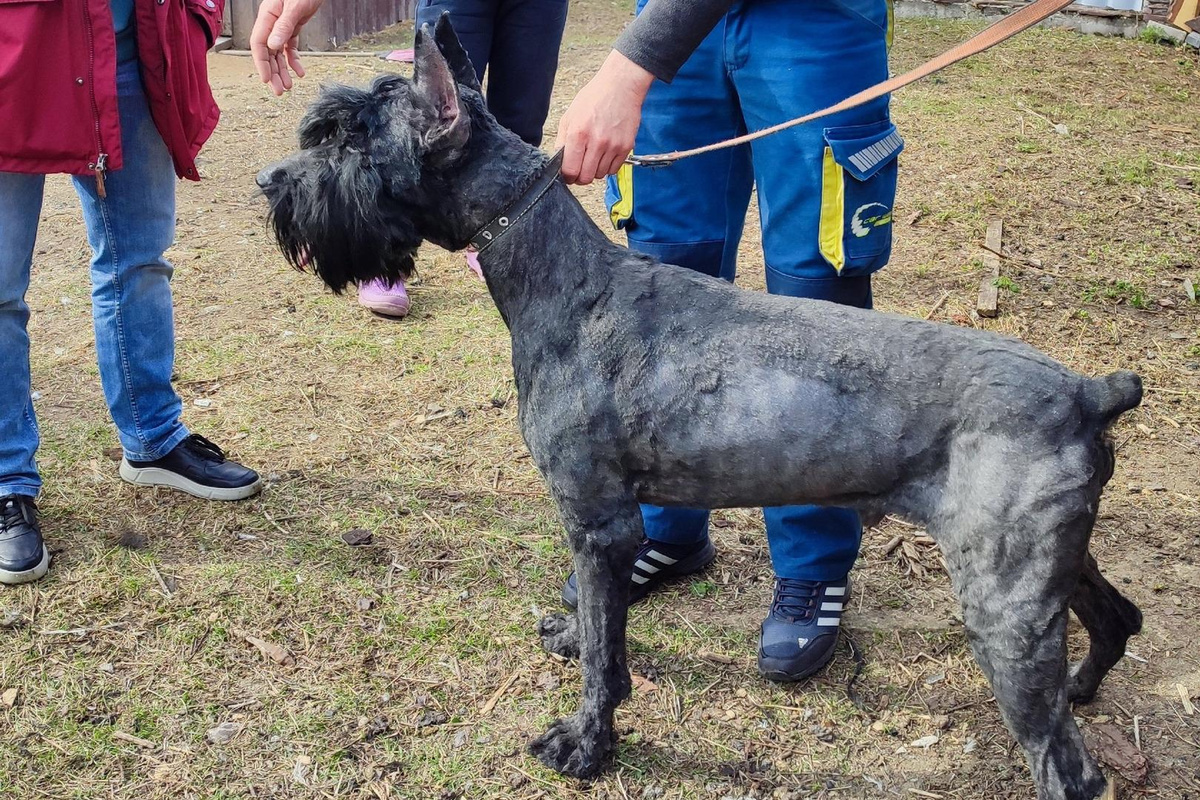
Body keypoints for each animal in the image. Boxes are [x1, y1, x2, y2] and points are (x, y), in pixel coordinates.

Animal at [260, 15, 1142, 796]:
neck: (565, 279)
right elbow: (597, 623)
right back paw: (1085, 683)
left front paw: (586, 742)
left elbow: (606, 658)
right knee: (1118, 617)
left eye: (350, 139)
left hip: (1003, 607)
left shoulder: (596, 524)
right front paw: (572, 640)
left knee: (1069, 768)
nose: (267, 181)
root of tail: (1085, 393)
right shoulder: (611, 532)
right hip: (1045, 567)